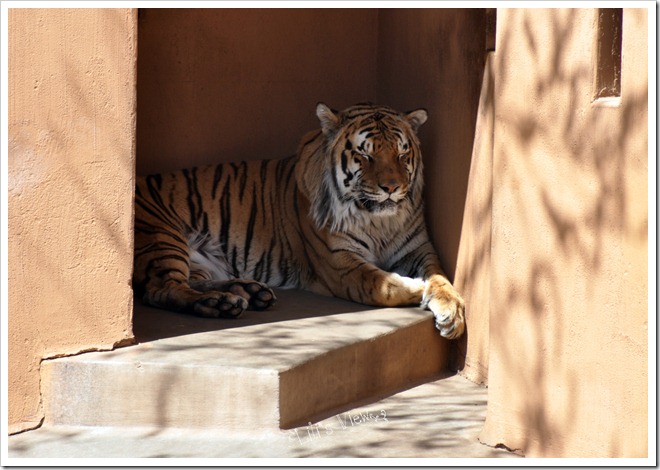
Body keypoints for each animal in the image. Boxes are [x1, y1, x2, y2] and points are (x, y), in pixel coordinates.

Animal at [133, 103, 465, 339]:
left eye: (402, 154)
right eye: (365, 156)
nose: (392, 188)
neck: (380, 221)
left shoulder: (418, 249)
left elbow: (441, 277)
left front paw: (452, 310)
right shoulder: (340, 263)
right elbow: (382, 284)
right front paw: (420, 289)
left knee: (187, 280)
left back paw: (247, 292)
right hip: (162, 236)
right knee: (162, 289)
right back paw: (220, 303)